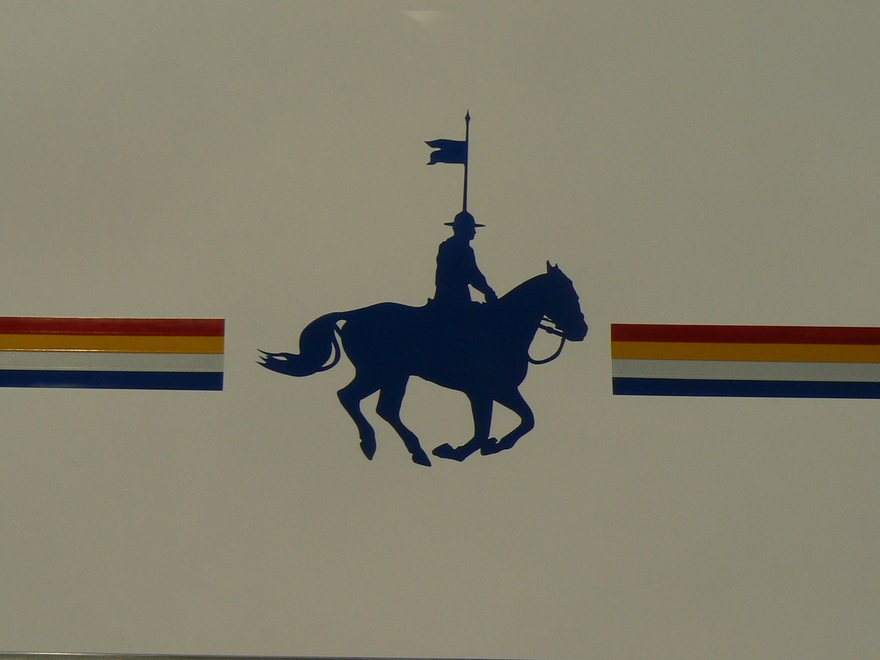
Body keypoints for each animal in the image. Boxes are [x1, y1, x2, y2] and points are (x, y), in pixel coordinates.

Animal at [259, 262, 587, 466]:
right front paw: (456, 451)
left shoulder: (502, 390)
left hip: (394, 376)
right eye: (566, 294)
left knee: (383, 408)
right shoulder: (483, 391)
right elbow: (487, 429)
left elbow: (526, 420)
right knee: (351, 397)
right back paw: (374, 444)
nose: (581, 330)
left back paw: (413, 451)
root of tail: (352, 315)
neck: (503, 326)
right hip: (380, 372)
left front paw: (492, 446)